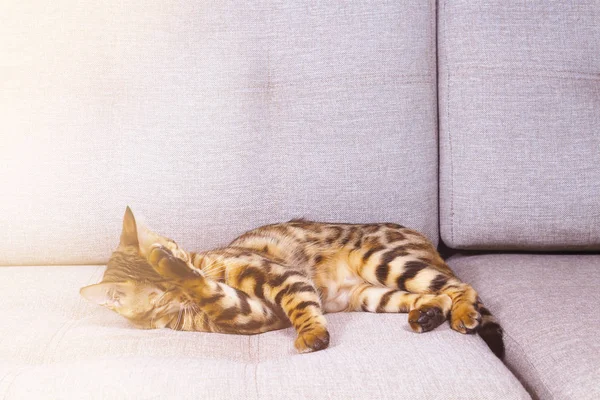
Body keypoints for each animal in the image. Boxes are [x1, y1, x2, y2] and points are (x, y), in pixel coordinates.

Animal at [79, 206, 502, 356]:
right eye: (159, 296)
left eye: (176, 251)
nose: (184, 275)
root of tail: (428, 241)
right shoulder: (248, 313)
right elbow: (219, 296)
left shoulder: (276, 276)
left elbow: (299, 304)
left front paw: (313, 335)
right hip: (373, 294)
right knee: (435, 295)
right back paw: (427, 316)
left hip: (382, 260)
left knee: (460, 287)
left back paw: (463, 314)